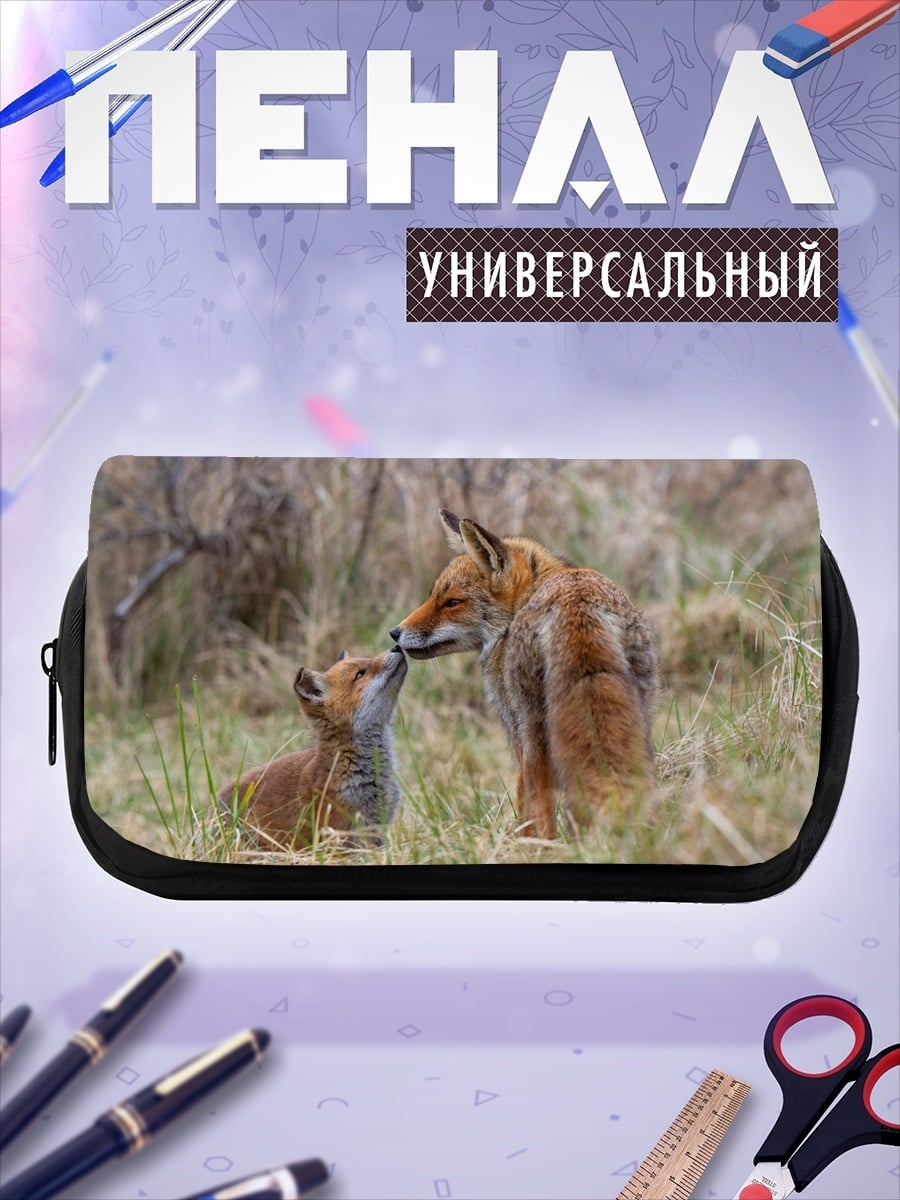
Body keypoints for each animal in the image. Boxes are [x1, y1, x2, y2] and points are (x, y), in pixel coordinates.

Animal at [390, 509, 658, 840]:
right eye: (432, 596)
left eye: (452, 602)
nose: (395, 633)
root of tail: (578, 603)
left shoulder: (515, 730)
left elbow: (524, 800)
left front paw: (520, 840)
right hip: (640, 715)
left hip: (534, 729)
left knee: (541, 799)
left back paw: (543, 845)